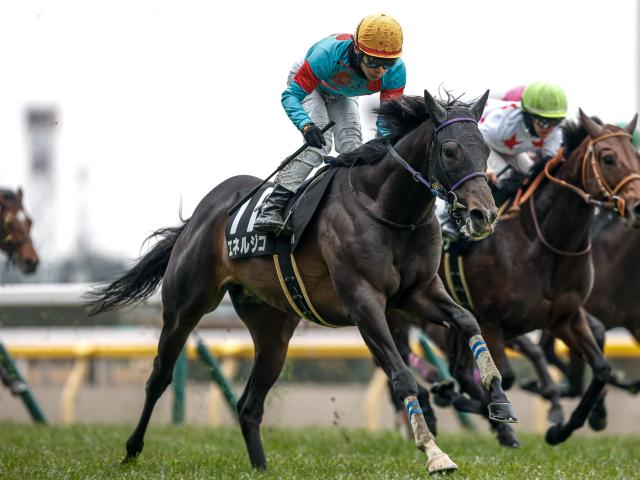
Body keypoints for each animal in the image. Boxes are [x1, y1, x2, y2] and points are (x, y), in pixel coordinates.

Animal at [86, 90, 519, 474]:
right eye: (449, 151)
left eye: (484, 149)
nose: (483, 215)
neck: (388, 209)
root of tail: (201, 214)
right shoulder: (364, 302)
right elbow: (401, 376)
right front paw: (434, 453)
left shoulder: (418, 292)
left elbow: (467, 321)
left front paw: (499, 401)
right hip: (185, 307)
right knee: (158, 377)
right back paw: (131, 450)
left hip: (273, 328)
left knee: (249, 404)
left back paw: (260, 467)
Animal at [422, 111, 640, 446]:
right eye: (607, 158)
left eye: (636, 156)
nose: (638, 206)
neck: (543, 245)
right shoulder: (491, 323)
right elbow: (505, 376)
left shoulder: (565, 317)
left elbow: (602, 369)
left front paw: (560, 430)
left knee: (459, 369)